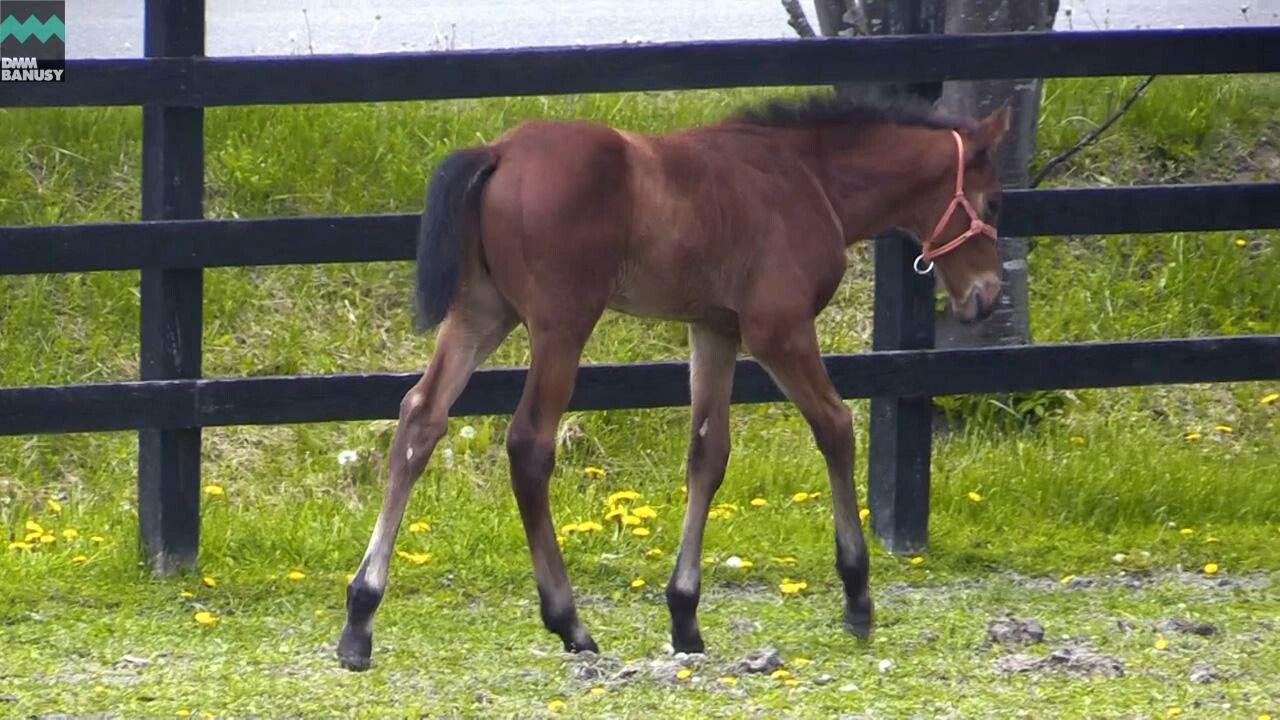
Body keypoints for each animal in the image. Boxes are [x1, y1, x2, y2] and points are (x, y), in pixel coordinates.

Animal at [337, 94, 1008, 666]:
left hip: (481, 310)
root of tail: (499, 150)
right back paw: (568, 621)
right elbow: (836, 426)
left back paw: (360, 619)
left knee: (420, 419)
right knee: (528, 444)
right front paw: (858, 596)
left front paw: (685, 616)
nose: (986, 296)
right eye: (993, 204)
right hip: (561, 322)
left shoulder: (714, 329)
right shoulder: (778, 329)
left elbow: (707, 453)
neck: (808, 179)